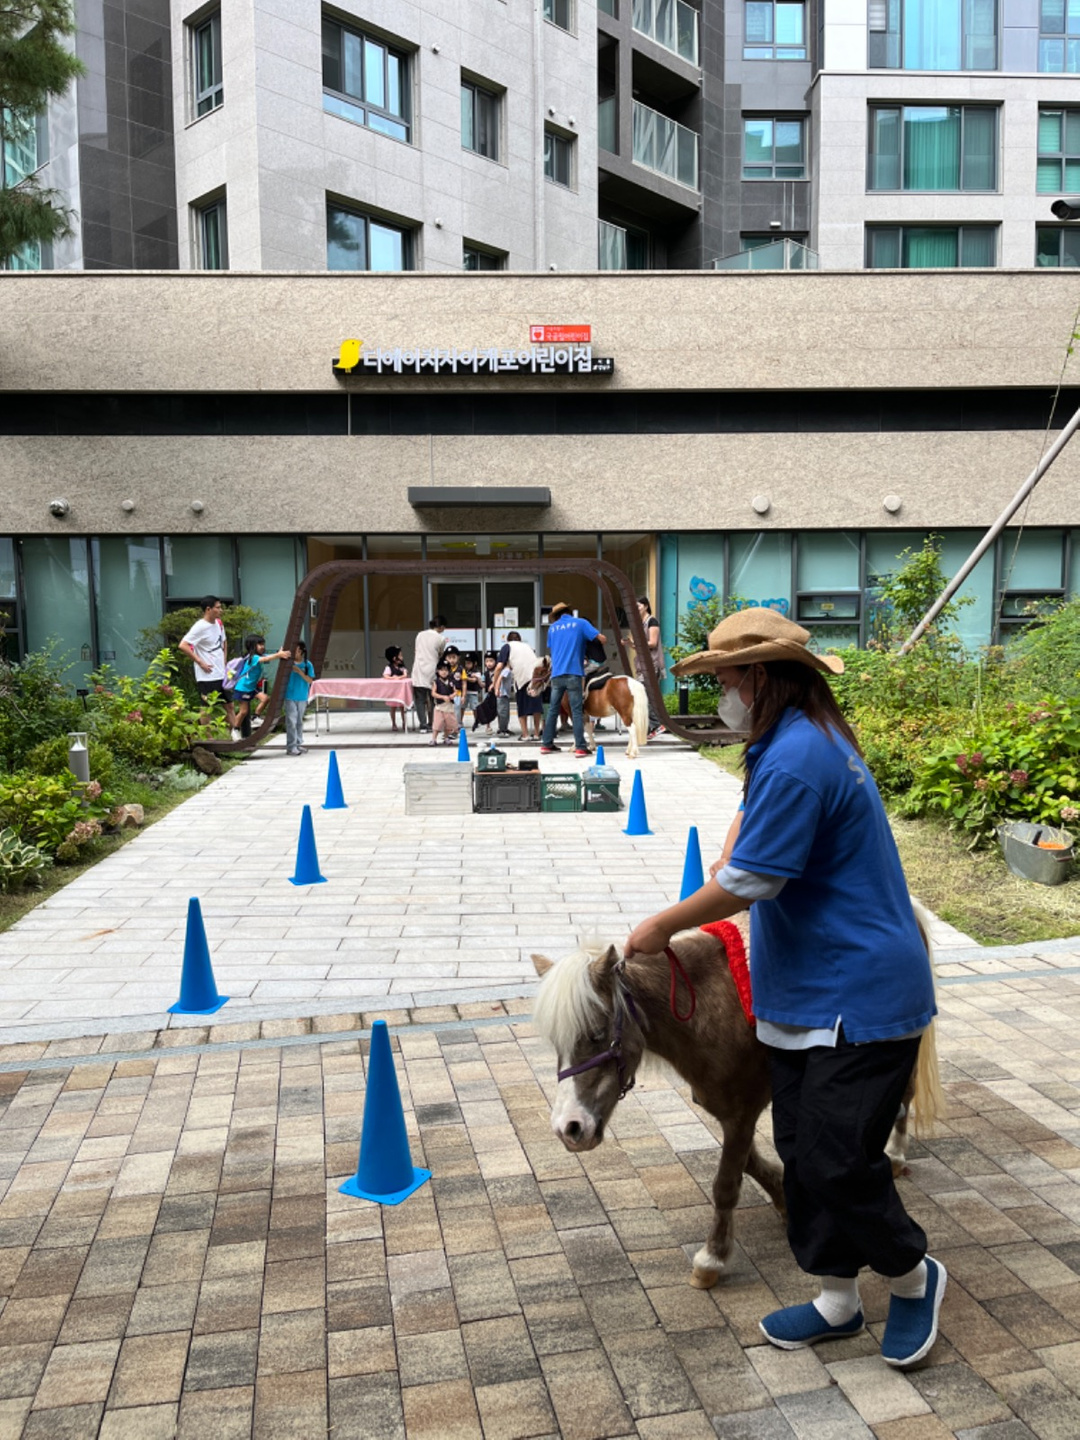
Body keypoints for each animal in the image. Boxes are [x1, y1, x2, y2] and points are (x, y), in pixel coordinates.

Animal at [532, 910, 944, 1296]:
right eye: (557, 1043)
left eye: (597, 1034)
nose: (570, 1128)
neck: (706, 1010)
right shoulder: (725, 1108)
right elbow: (749, 1162)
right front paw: (784, 1198)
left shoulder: (742, 1111)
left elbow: (726, 1184)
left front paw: (712, 1259)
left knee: (902, 1100)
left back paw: (896, 1155)